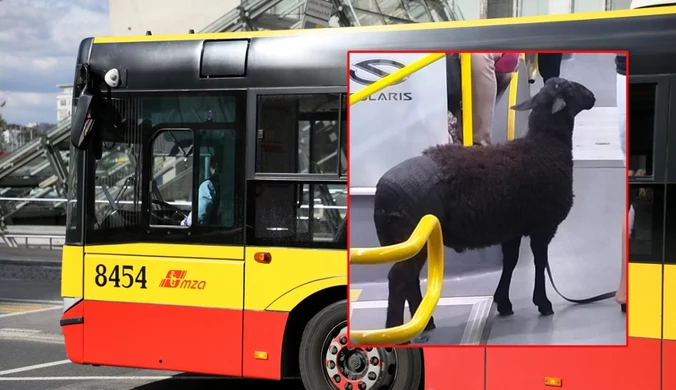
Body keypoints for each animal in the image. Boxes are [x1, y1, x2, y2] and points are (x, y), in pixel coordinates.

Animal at [374, 77, 596, 332]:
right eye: (569, 86)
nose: (592, 97)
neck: (546, 144)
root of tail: (383, 196)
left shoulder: (513, 227)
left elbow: (510, 262)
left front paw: (504, 303)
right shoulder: (544, 225)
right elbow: (540, 262)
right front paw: (543, 303)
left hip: (402, 242)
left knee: (408, 278)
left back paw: (426, 324)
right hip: (411, 237)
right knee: (399, 279)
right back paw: (398, 328)